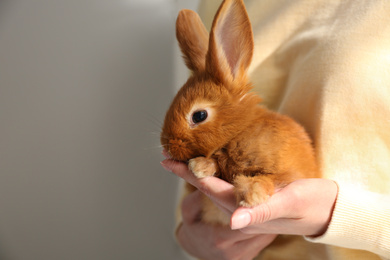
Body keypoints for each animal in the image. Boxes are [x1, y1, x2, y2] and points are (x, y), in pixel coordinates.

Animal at [159, 0, 320, 224]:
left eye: (199, 116)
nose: (168, 145)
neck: (238, 132)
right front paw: (201, 166)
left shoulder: (290, 172)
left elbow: (270, 179)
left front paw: (251, 195)